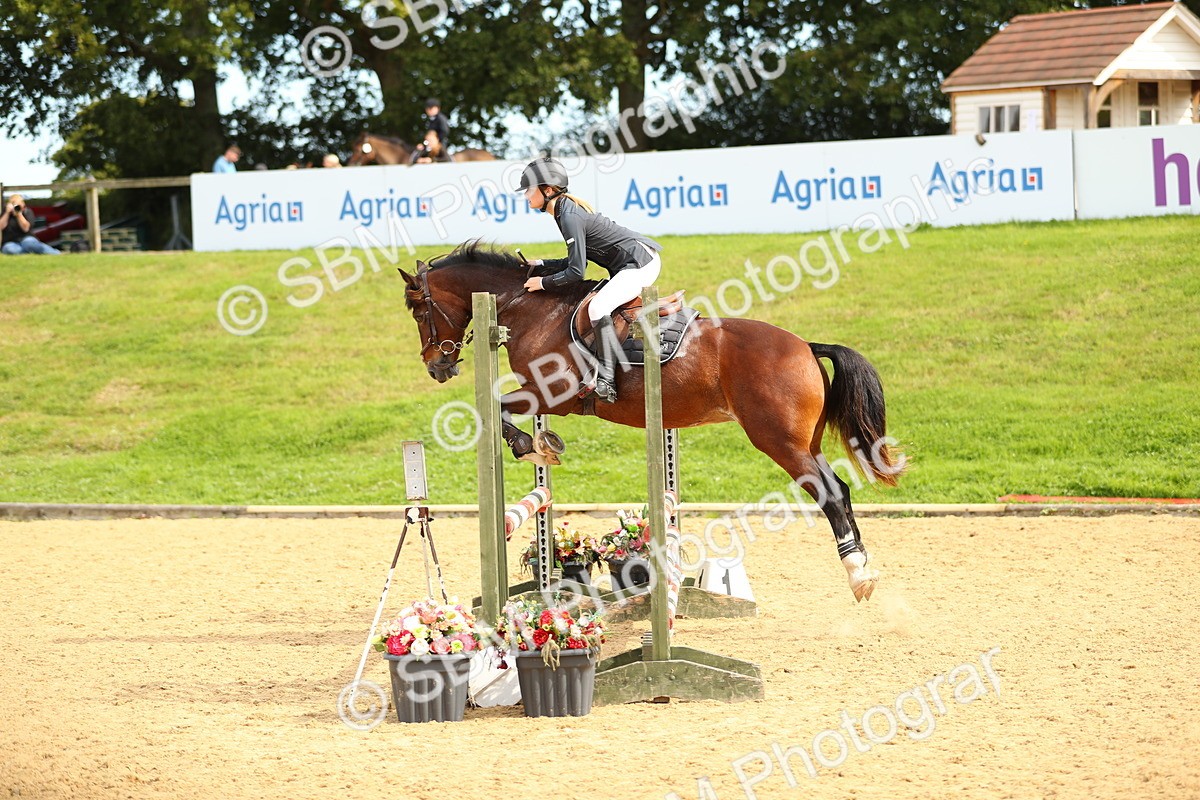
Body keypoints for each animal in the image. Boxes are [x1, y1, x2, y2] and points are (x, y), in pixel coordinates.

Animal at [398, 242, 903, 602]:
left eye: (420, 311)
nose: (436, 367)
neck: (530, 309)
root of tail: (805, 346)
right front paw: (541, 447)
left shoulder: (553, 393)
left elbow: (500, 410)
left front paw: (533, 447)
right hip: (805, 441)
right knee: (842, 490)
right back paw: (866, 566)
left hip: (780, 442)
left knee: (830, 494)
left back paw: (858, 576)